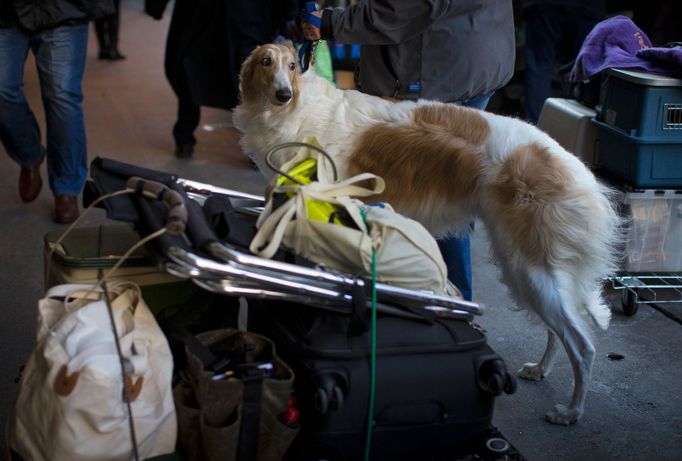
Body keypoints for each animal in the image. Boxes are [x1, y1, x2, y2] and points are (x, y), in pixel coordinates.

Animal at [234, 43, 620, 424]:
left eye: (291, 66)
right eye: (266, 62)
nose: (283, 94)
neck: (299, 109)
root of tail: (575, 171)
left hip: (527, 265)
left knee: (582, 346)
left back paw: (571, 411)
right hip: (530, 269)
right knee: (559, 330)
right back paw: (540, 370)